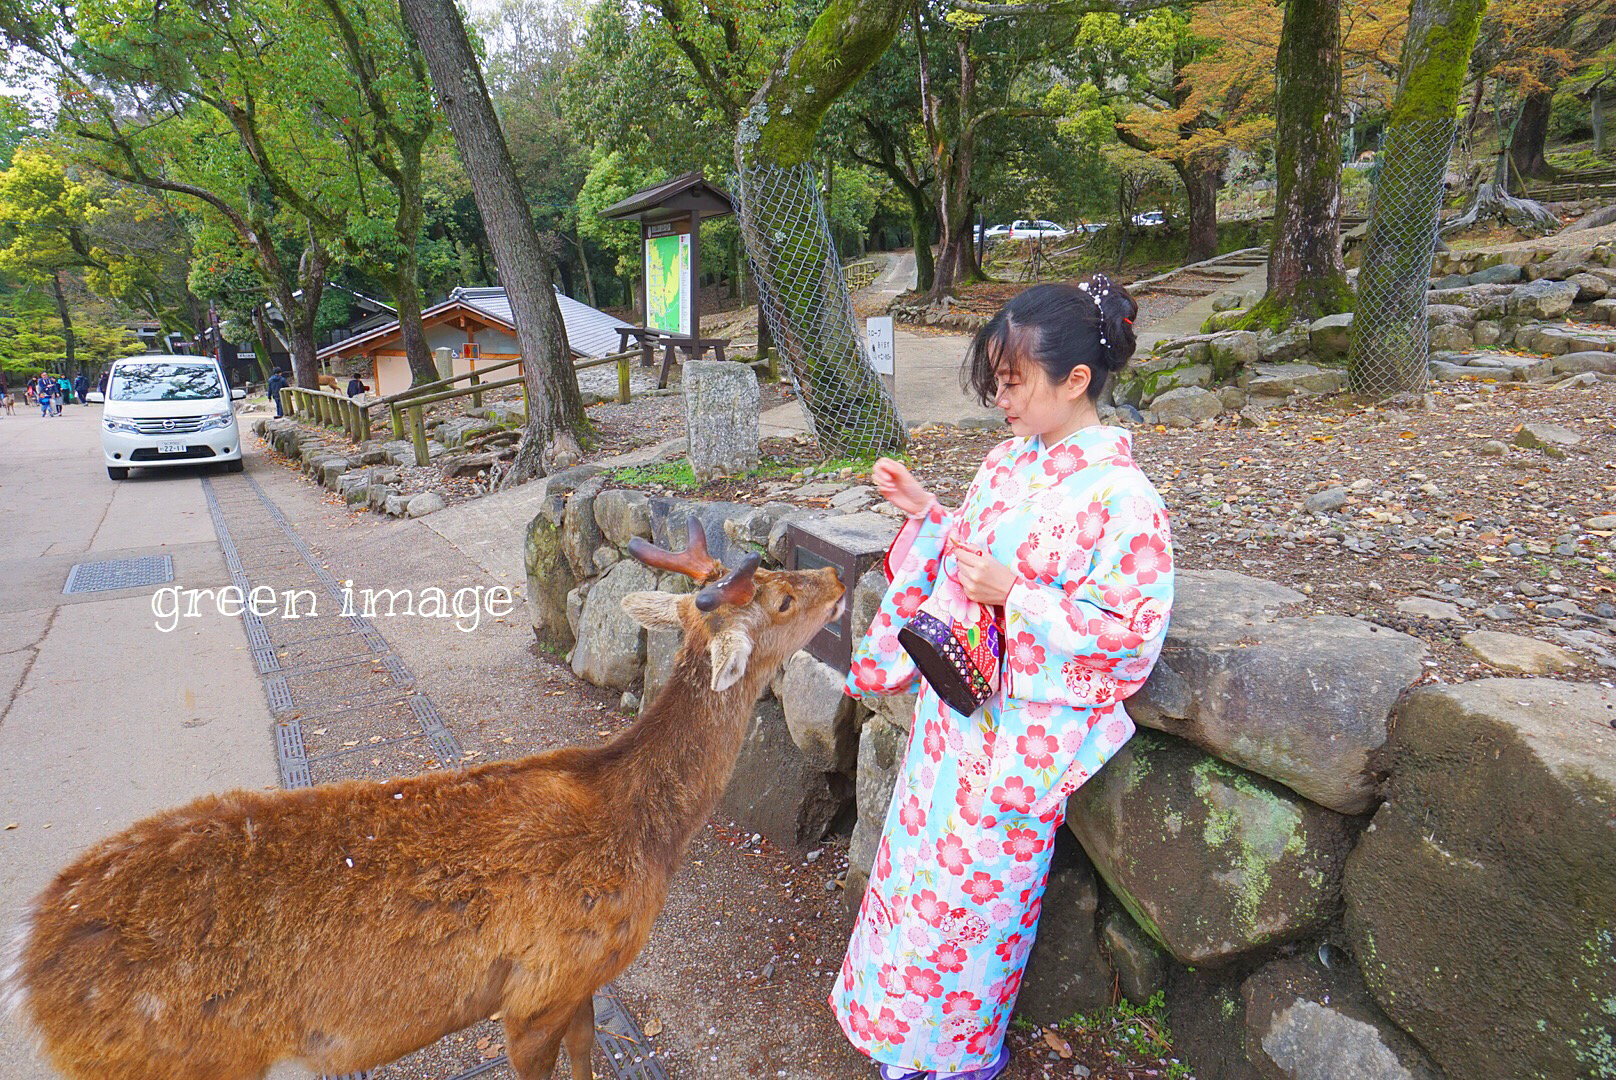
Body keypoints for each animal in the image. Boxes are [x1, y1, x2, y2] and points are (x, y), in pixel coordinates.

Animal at [3, 517, 846, 1080]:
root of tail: (30, 972)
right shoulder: (537, 989)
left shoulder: (581, 980)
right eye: (777, 598)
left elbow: (587, 1054)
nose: (839, 581)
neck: (643, 832)